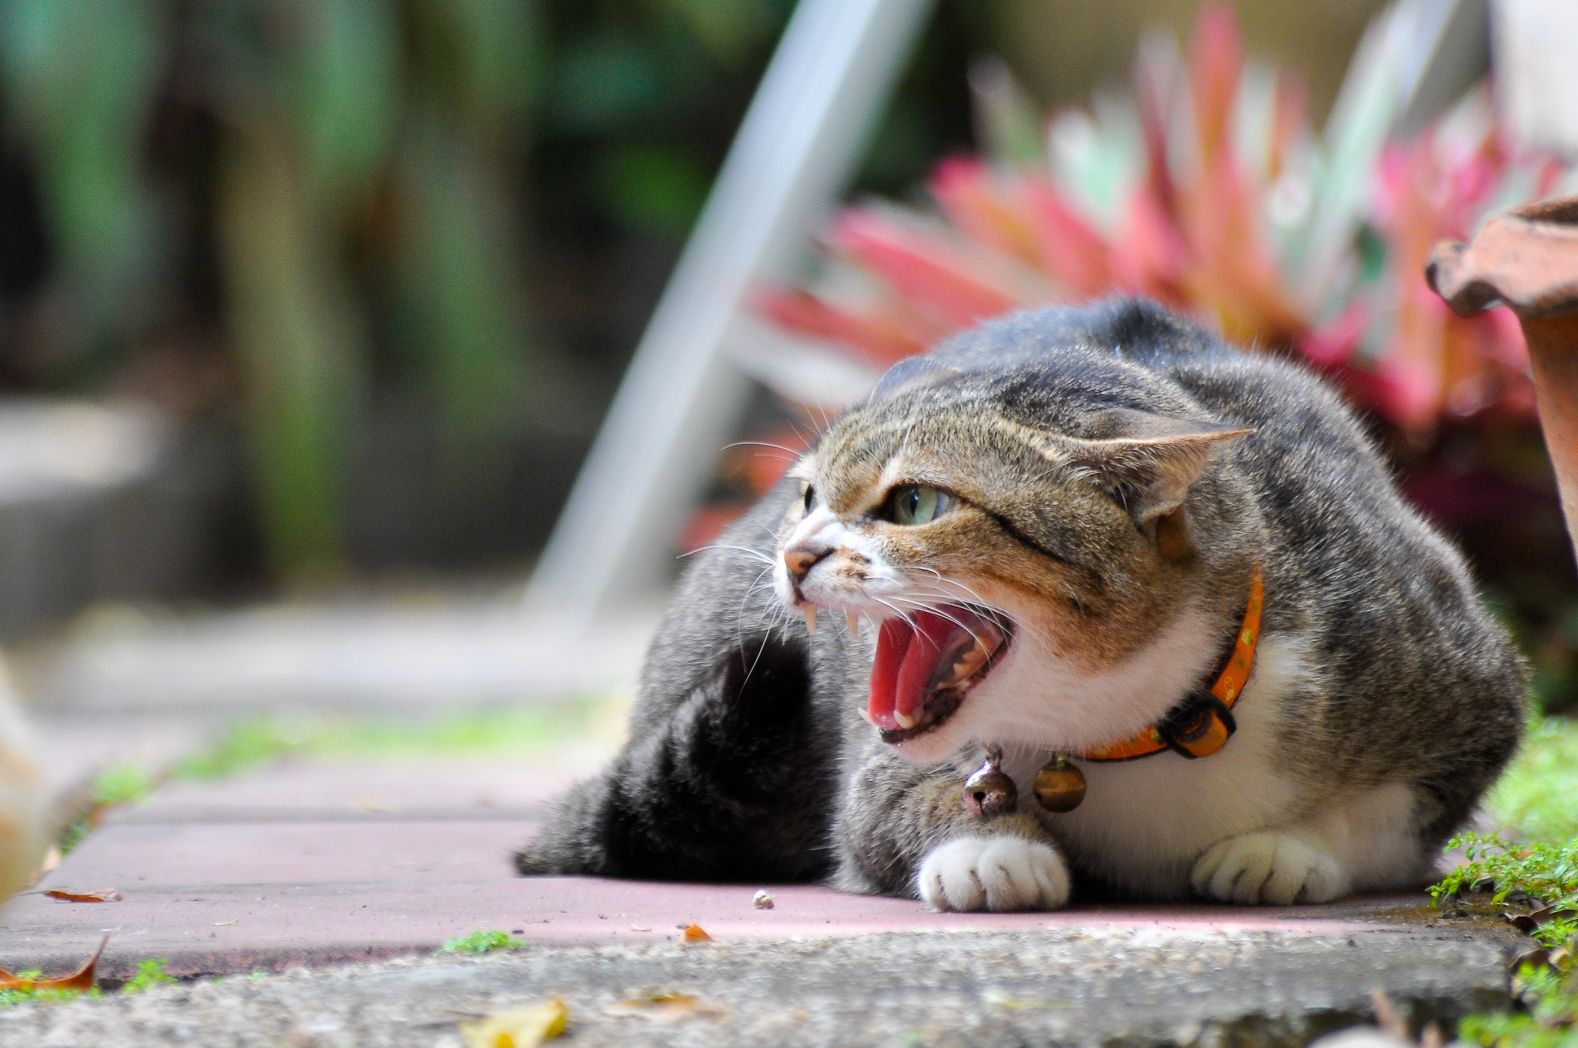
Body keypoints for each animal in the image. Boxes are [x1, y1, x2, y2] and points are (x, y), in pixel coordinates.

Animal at [520, 301, 1527, 909]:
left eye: (914, 505)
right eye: (809, 496)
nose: (797, 553)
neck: (1130, 732)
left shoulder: (1476, 686)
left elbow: (1388, 815)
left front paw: (1284, 851)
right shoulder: (869, 786)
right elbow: (898, 812)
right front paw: (993, 849)